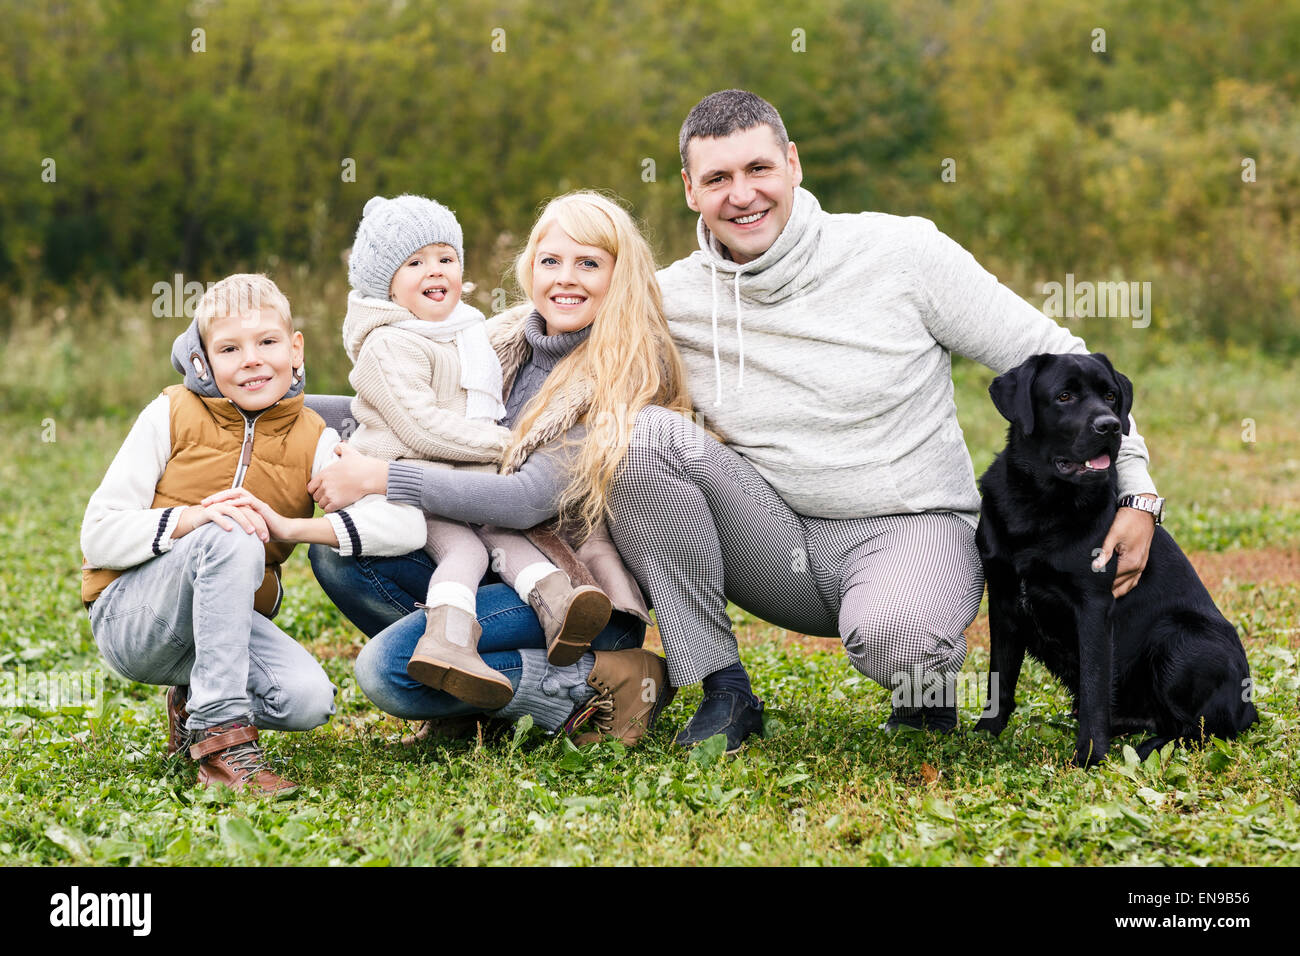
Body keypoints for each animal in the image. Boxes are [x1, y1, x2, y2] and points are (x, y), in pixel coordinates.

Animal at [972, 356, 1253, 764]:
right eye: (1064, 396)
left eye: (1110, 396)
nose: (1111, 426)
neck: (1039, 503)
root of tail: (1251, 708)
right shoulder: (1004, 598)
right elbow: (1000, 678)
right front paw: (985, 734)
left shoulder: (1092, 607)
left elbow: (1094, 688)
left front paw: (1089, 756)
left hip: (1178, 638)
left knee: (1201, 729)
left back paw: (1149, 747)